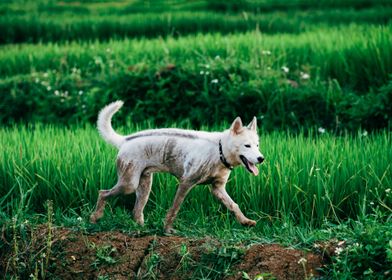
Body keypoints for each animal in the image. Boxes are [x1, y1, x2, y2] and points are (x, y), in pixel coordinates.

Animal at [90, 100, 264, 232]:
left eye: (257, 145)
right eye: (247, 145)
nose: (261, 158)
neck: (219, 151)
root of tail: (125, 140)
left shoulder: (217, 188)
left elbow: (234, 205)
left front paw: (245, 221)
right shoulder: (186, 182)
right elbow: (174, 208)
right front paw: (167, 230)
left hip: (144, 186)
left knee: (136, 211)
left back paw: (141, 229)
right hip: (128, 184)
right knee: (102, 193)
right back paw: (94, 218)